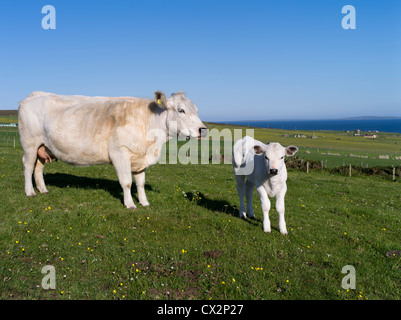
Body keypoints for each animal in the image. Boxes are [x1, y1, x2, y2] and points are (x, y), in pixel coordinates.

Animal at [18, 90, 206, 210]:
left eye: (197, 110)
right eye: (181, 110)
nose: (203, 129)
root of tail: (34, 94)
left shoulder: (140, 158)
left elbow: (140, 183)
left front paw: (144, 203)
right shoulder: (120, 153)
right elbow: (127, 182)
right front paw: (130, 204)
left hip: (44, 147)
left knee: (38, 168)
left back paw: (43, 189)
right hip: (29, 143)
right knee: (27, 166)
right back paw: (30, 192)